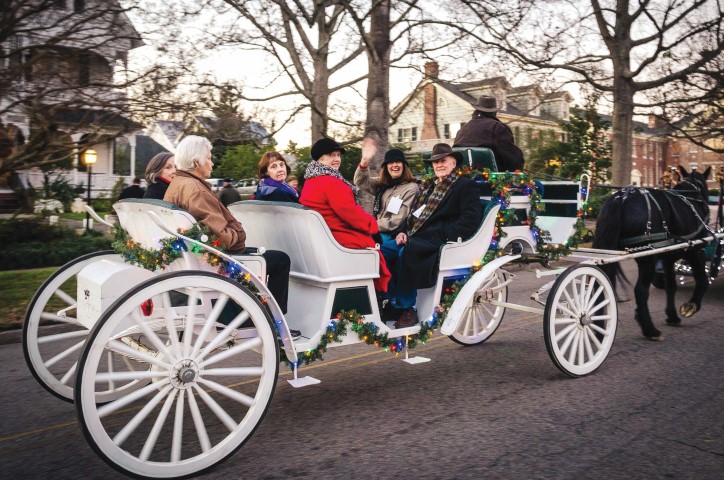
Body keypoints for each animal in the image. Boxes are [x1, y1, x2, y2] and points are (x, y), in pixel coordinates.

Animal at [592, 167, 712, 340]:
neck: (691, 199)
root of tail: (623, 198)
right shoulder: (696, 250)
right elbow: (702, 280)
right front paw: (691, 306)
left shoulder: (668, 256)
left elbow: (671, 285)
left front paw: (672, 316)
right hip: (647, 258)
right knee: (641, 290)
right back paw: (649, 329)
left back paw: (599, 329)